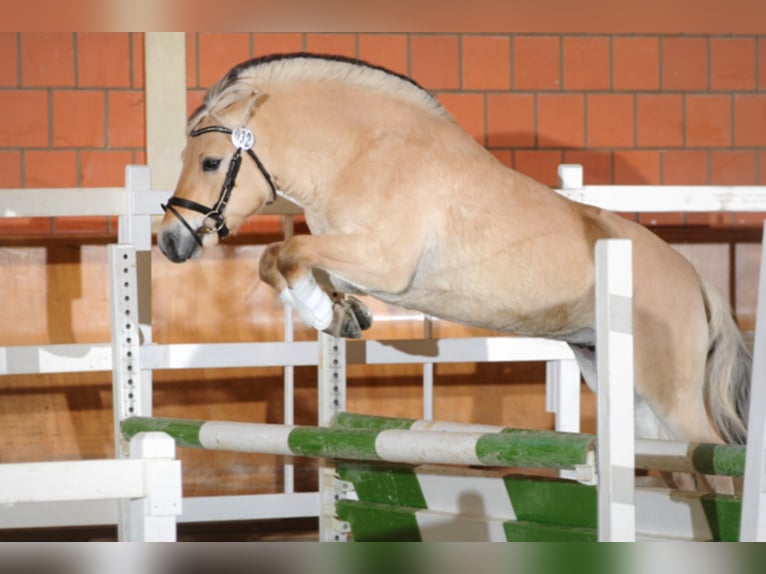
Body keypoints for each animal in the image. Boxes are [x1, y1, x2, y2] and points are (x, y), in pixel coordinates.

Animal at [157, 53, 751, 488]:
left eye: (211, 162)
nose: (169, 241)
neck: (362, 155)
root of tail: (694, 280)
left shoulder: (382, 262)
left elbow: (288, 253)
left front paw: (328, 312)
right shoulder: (351, 257)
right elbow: (279, 261)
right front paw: (340, 316)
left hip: (671, 396)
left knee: (715, 458)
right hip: (627, 390)